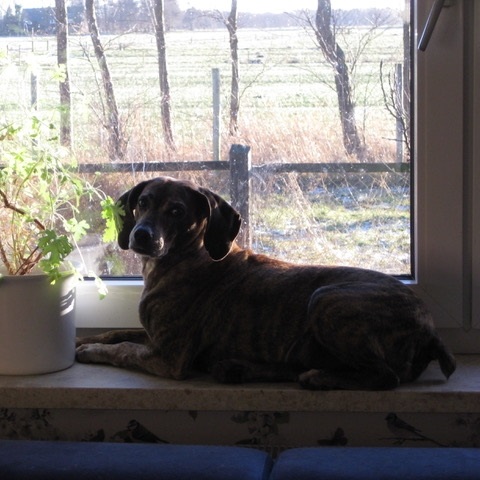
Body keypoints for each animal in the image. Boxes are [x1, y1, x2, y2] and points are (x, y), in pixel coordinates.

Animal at [76, 176, 456, 390]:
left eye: (177, 211)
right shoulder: (155, 337)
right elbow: (119, 333)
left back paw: (318, 378)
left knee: (385, 377)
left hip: (326, 299)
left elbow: (125, 349)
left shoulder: (169, 356)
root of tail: (430, 328)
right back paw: (237, 368)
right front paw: (89, 339)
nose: (141, 236)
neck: (187, 258)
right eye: (143, 203)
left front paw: (92, 352)